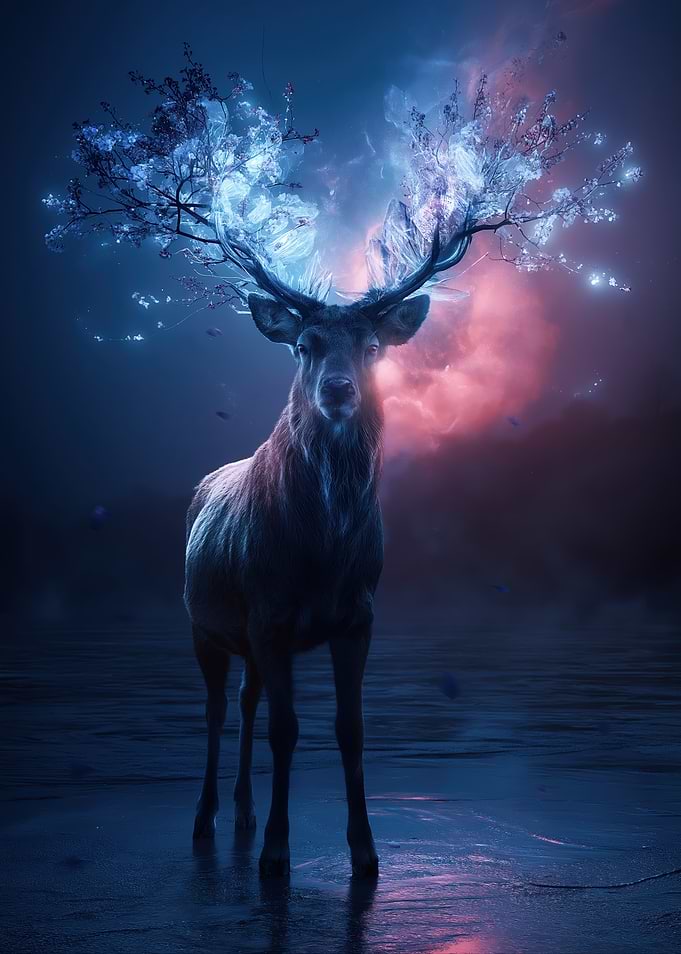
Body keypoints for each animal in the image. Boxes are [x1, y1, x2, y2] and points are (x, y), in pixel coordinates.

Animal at [184, 222, 472, 878]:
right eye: (304, 345)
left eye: (372, 346)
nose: (338, 389)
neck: (323, 555)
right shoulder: (269, 615)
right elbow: (287, 730)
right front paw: (276, 853)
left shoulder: (357, 615)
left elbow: (350, 729)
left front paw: (365, 852)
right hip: (203, 626)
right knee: (216, 710)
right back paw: (206, 818)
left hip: (247, 641)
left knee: (246, 701)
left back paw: (243, 811)